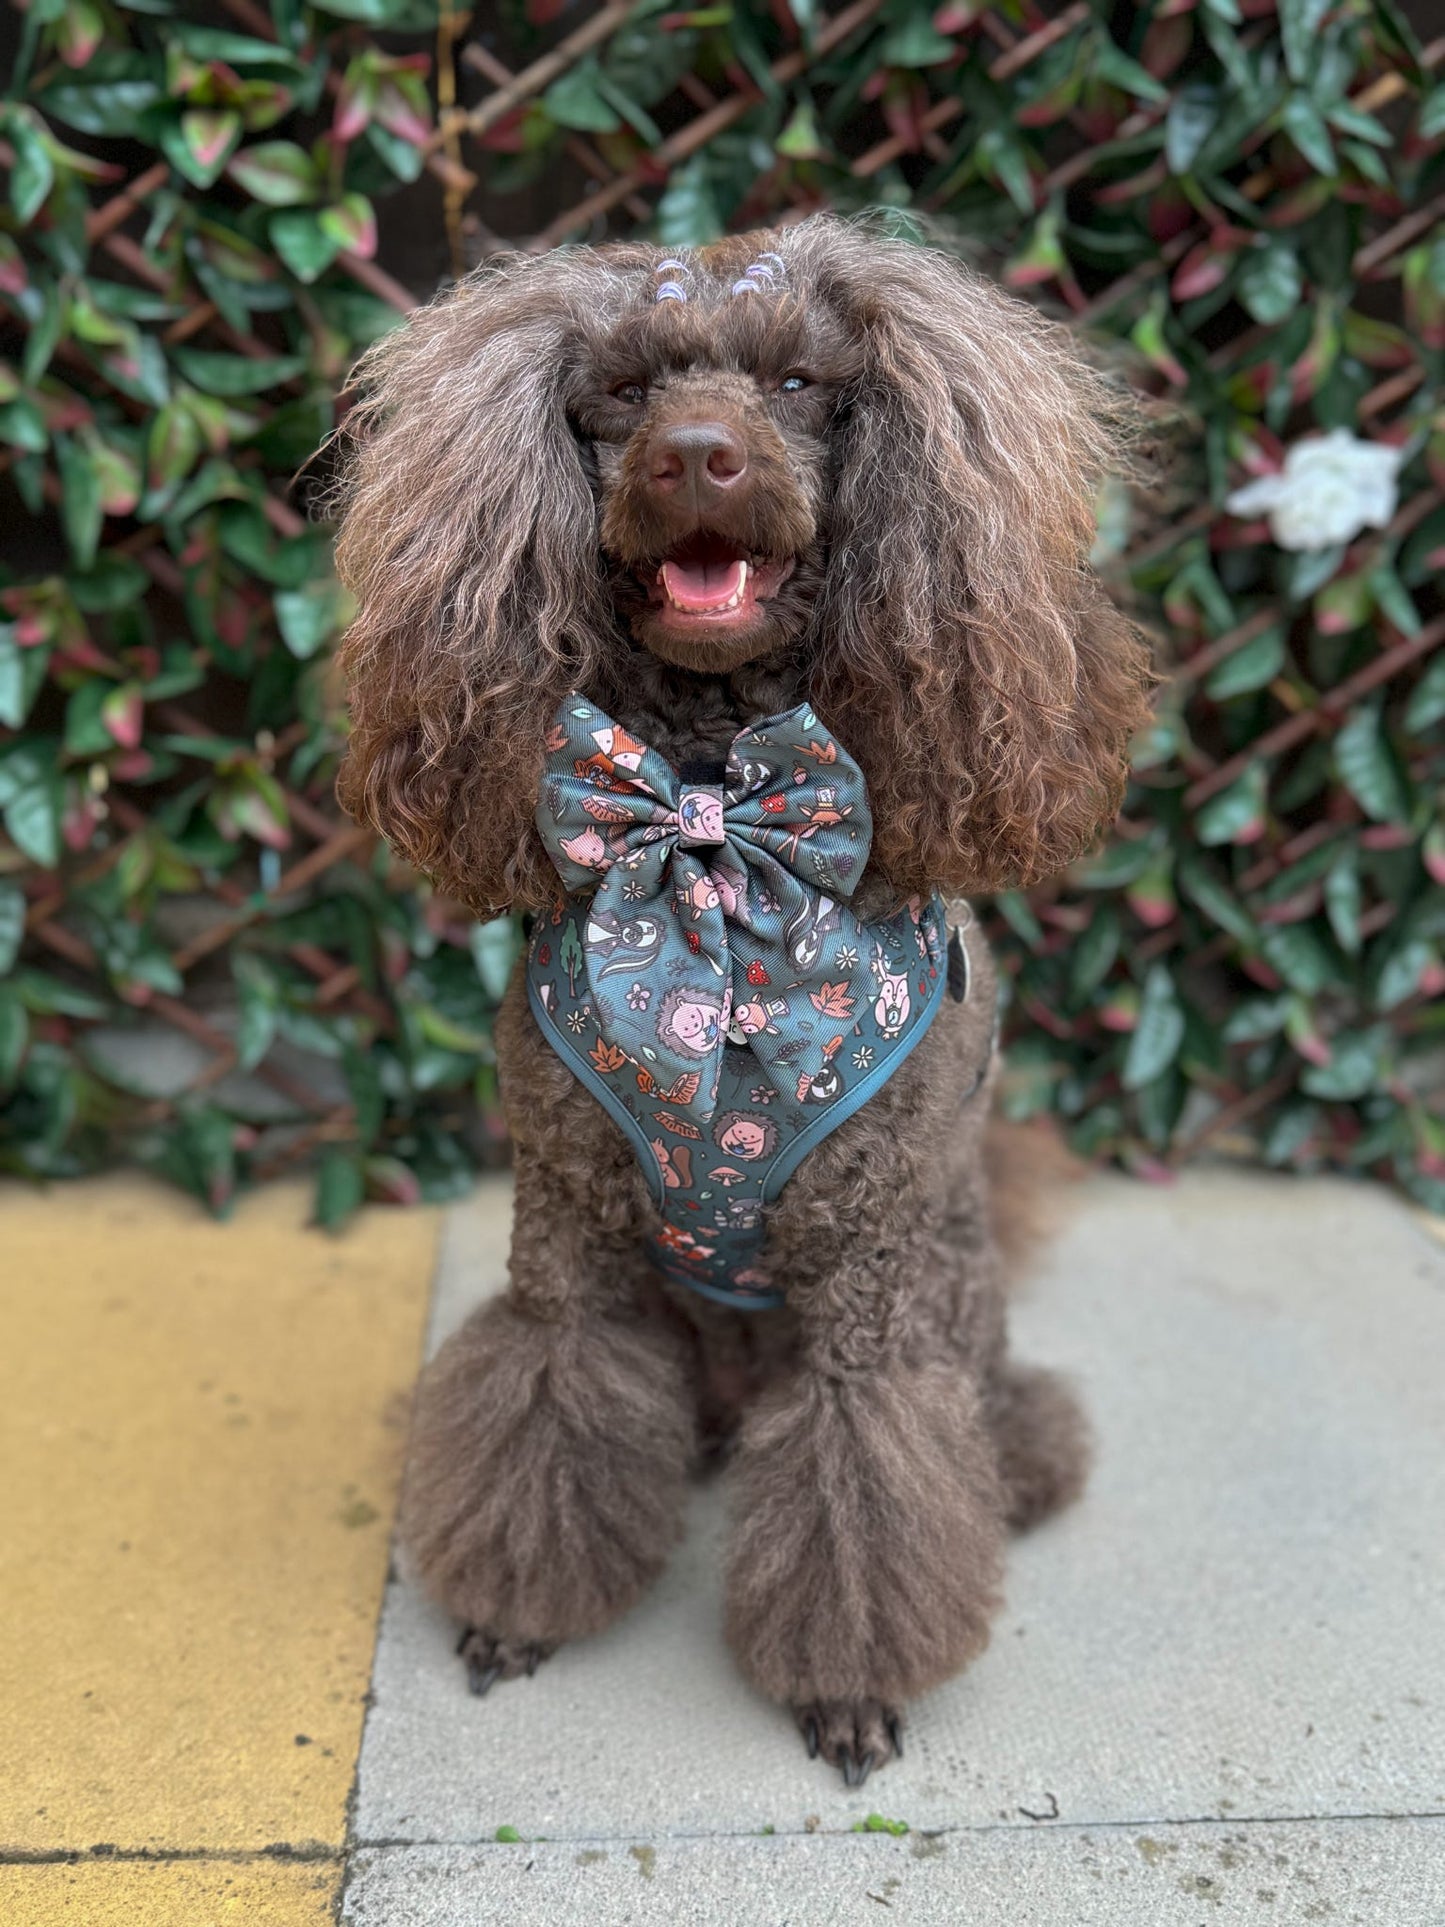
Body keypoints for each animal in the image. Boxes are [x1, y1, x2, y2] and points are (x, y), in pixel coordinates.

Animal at [327, 218, 1156, 1780]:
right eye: (619, 394)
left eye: (796, 382)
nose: (695, 455)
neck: (711, 822)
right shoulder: (566, 1232)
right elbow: (549, 1407)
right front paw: (516, 1615)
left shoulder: (866, 1276)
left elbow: (863, 1476)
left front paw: (847, 1687)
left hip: (949, 1286)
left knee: (980, 1417)